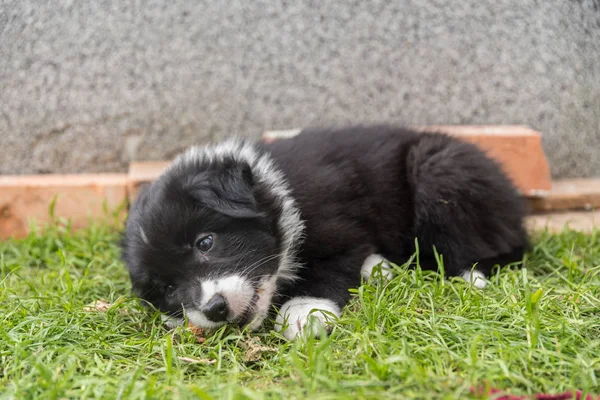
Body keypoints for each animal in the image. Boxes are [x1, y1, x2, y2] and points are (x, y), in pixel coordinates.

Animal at [119, 126, 528, 340]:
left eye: (205, 242)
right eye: (168, 289)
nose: (214, 309)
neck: (276, 192)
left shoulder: (343, 228)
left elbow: (329, 267)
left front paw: (303, 312)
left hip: (439, 171)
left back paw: (470, 277)